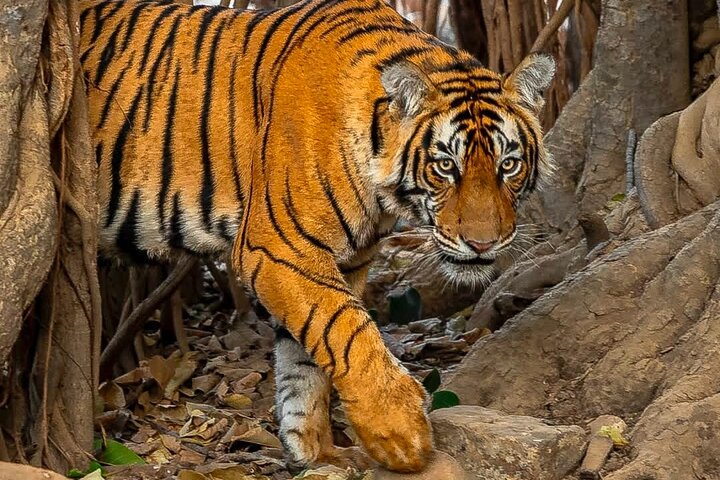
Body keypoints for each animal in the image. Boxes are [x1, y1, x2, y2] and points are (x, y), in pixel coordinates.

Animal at [79, 0, 555, 472]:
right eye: (444, 166)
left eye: (508, 165)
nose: (482, 243)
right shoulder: (277, 248)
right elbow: (348, 330)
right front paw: (400, 432)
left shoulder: (348, 261)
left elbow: (309, 356)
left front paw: (319, 451)